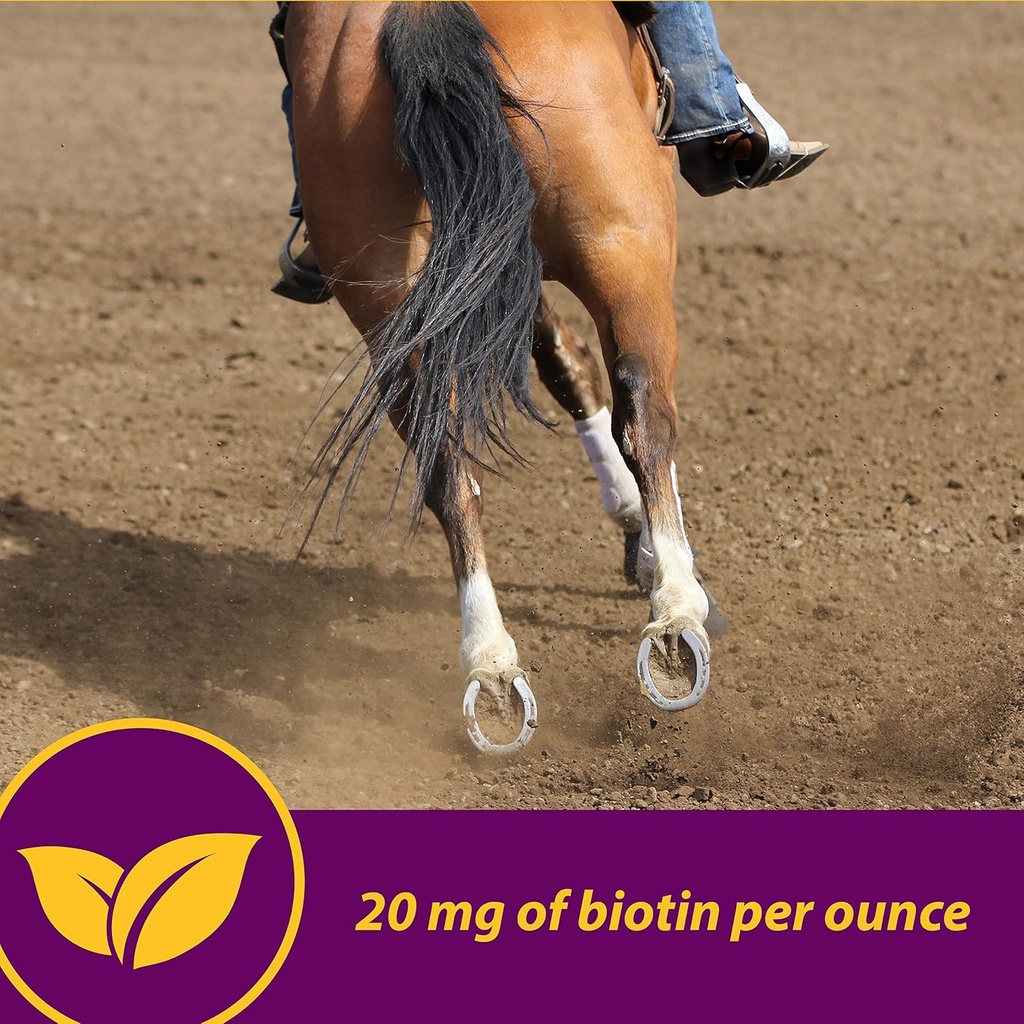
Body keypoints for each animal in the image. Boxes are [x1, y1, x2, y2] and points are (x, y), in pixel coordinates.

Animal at [283, 0, 725, 752]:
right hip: (624, 245)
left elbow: (561, 361)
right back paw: (678, 614)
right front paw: (654, 550)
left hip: (396, 304)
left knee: (448, 473)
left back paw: (491, 665)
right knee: (646, 408)